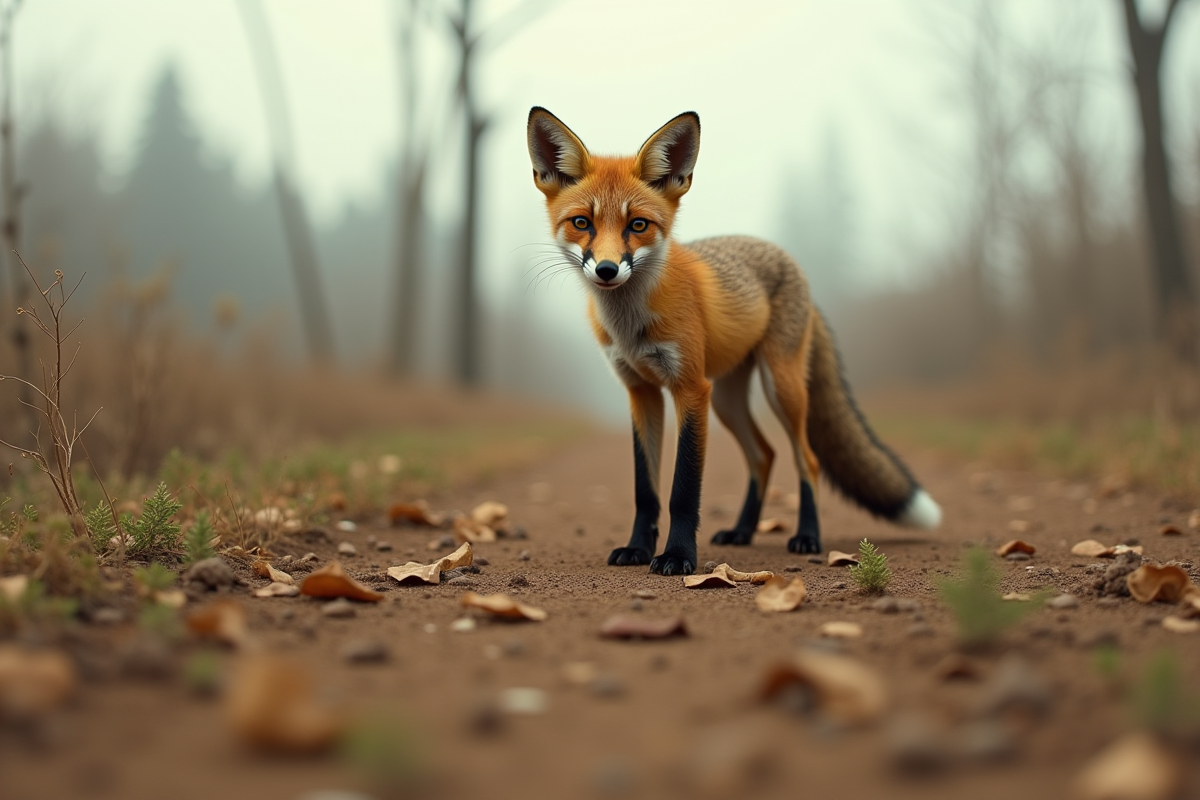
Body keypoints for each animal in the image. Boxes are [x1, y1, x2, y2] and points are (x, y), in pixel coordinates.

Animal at [526, 107, 942, 576]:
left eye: (638, 225)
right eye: (583, 223)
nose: (607, 270)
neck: (631, 325)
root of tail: (790, 262)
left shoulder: (691, 389)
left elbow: (683, 489)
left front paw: (678, 556)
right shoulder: (641, 392)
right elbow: (645, 490)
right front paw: (637, 549)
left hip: (780, 388)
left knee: (807, 459)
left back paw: (807, 536)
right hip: (727, 398)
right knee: (763, 455)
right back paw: (743, 531)